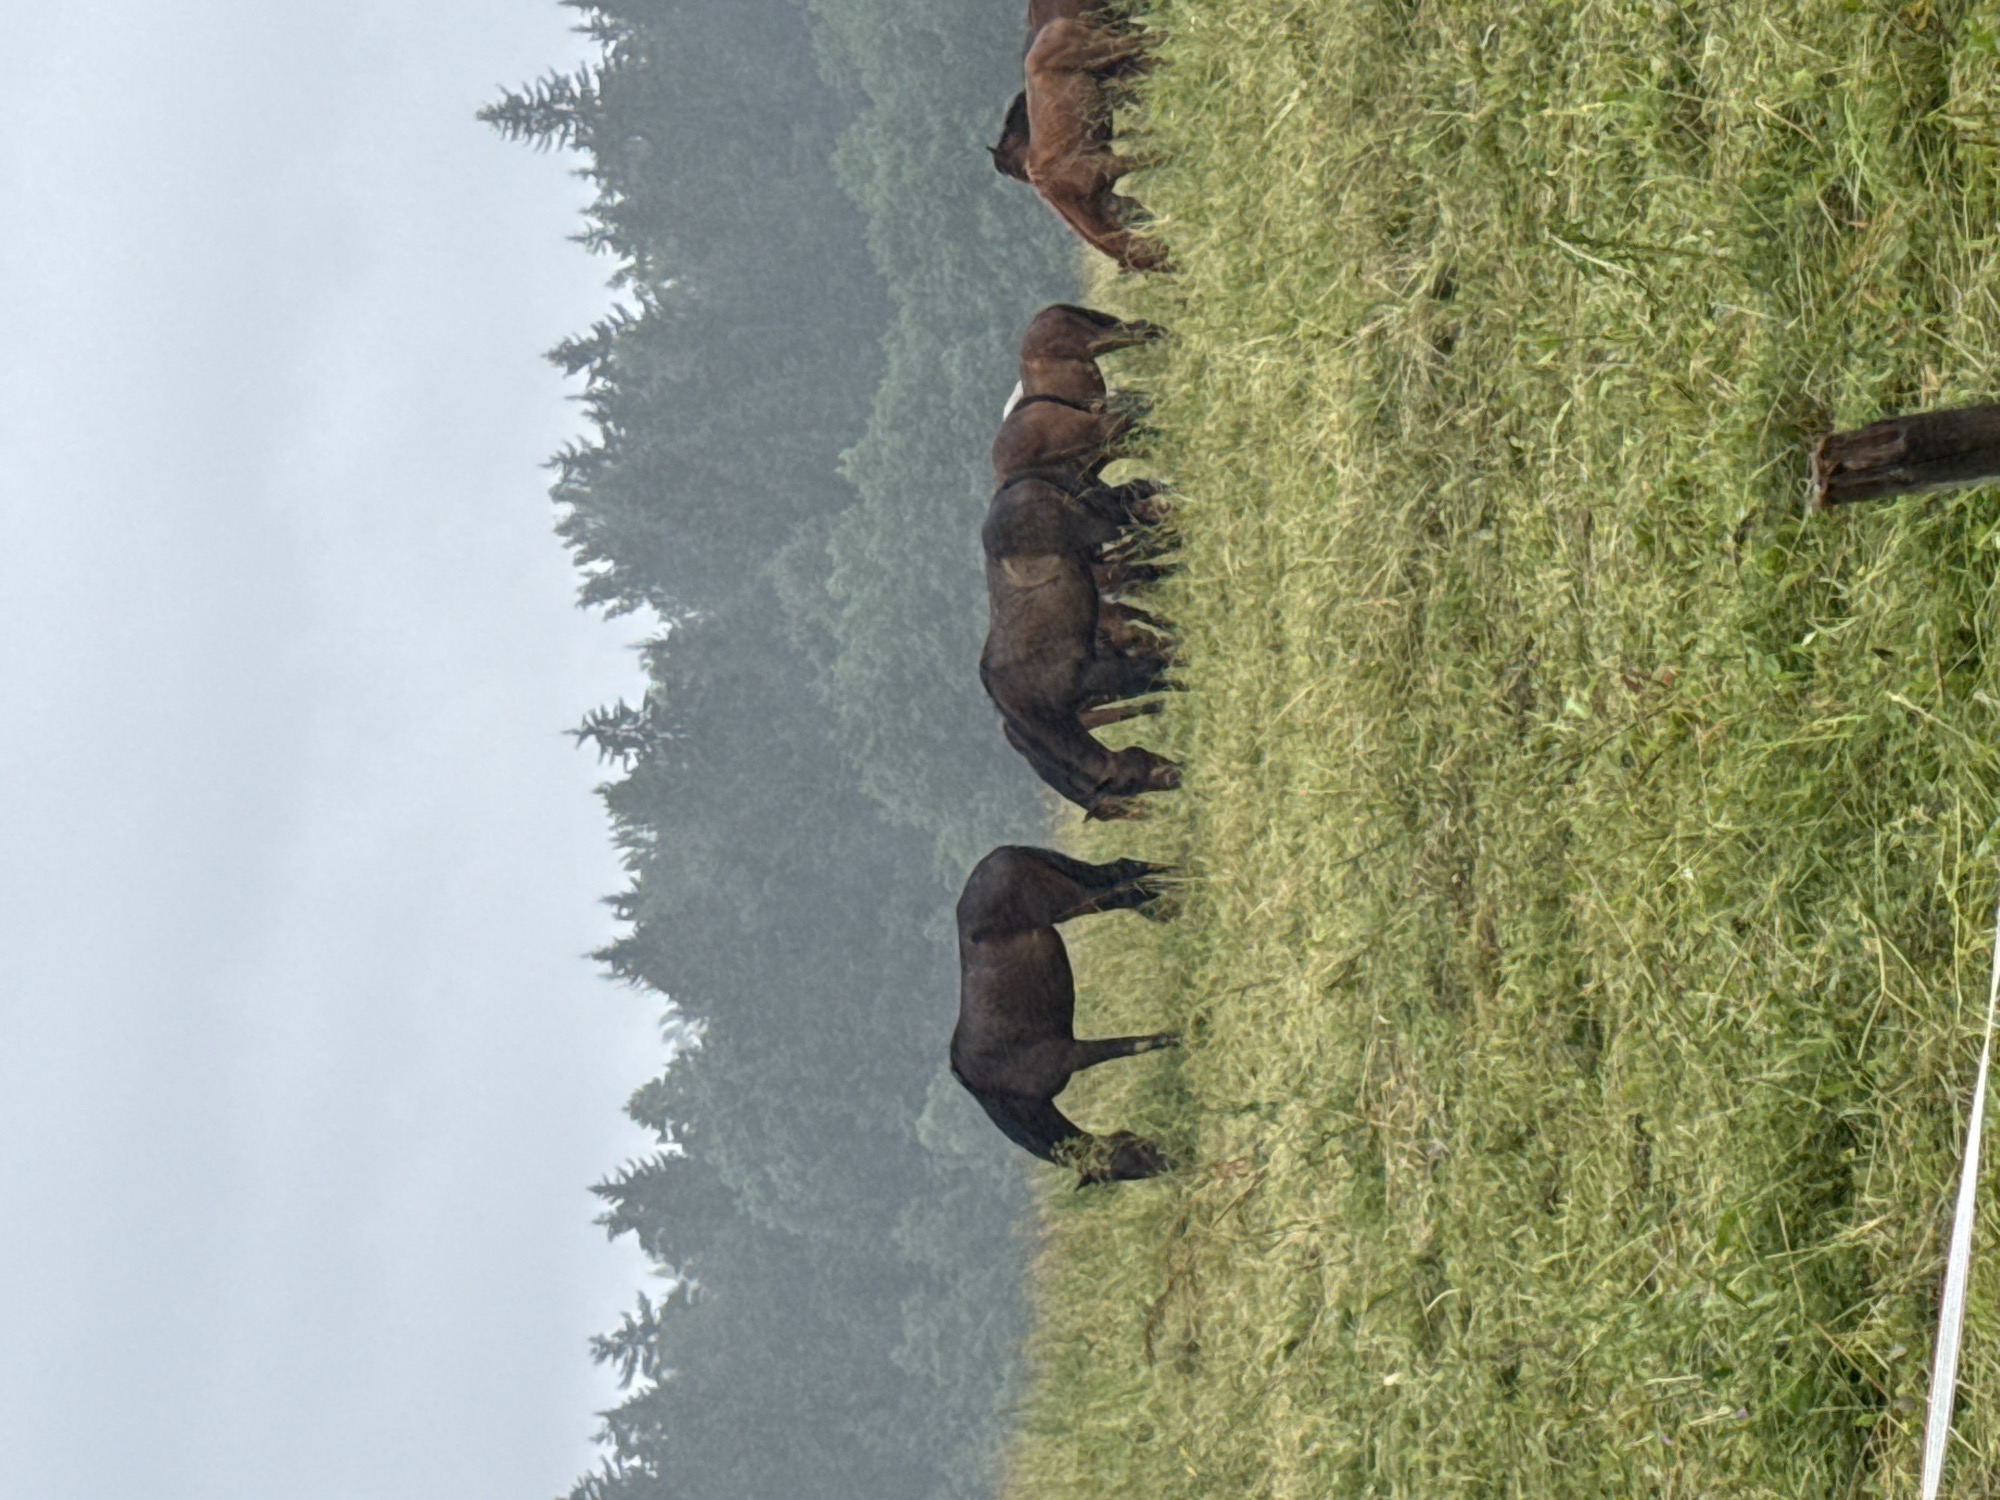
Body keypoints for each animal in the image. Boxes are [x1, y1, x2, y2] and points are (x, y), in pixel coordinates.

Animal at [951, 845, 1178, 1185]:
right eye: (1123, 1172)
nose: (1175, 1163)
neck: (1001, 1090)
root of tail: (998, 856)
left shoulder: (1072, 1054)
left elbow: (1133, 1045)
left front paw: (1180, 1037)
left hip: (1073, 899)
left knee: (1126, 891)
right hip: (1077, 875)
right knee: (1127, 871)